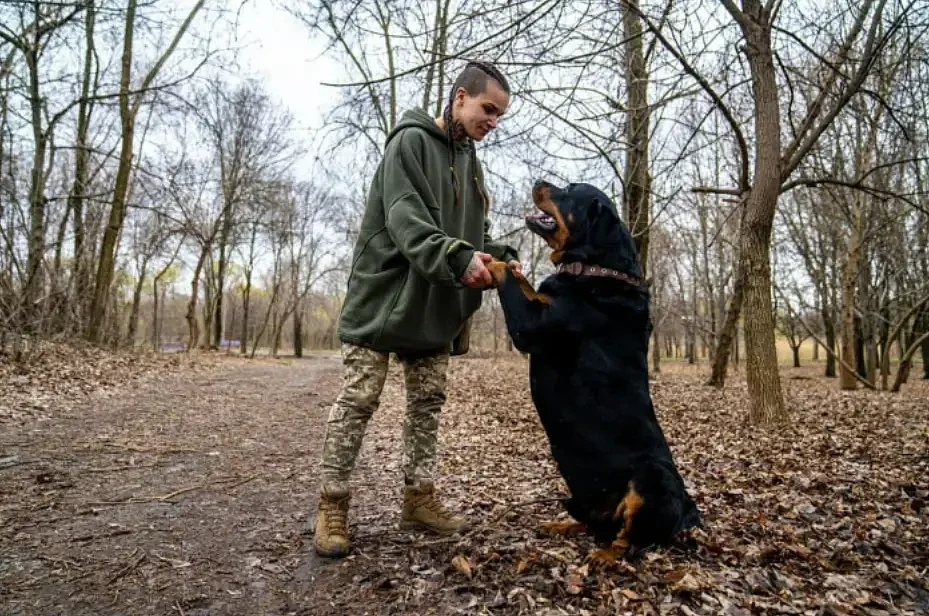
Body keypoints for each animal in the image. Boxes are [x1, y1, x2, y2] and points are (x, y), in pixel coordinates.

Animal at [486, 179, 696, 568]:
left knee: (631, 539)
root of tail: (689, 514)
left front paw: (491, 261)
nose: (538, 181)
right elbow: (525, 283)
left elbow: (508, 276)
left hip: (652, 477)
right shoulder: (541, 302)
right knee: (598, 524)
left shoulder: (531, 326)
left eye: (569, 191)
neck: (597, 270)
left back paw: (606, 555)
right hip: (581, 499)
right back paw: (561, 526)